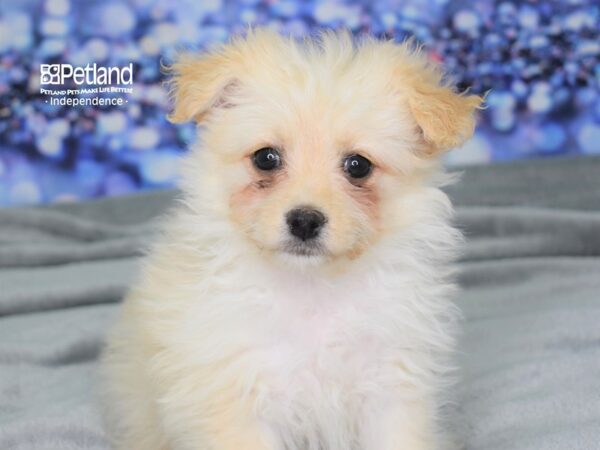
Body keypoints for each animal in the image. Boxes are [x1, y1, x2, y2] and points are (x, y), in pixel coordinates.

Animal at [98, 29, 482, 450]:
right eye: (266, 158)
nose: (304, 221)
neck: (311, 290)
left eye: (358, 166)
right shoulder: (237, 394)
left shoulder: (391, 384)